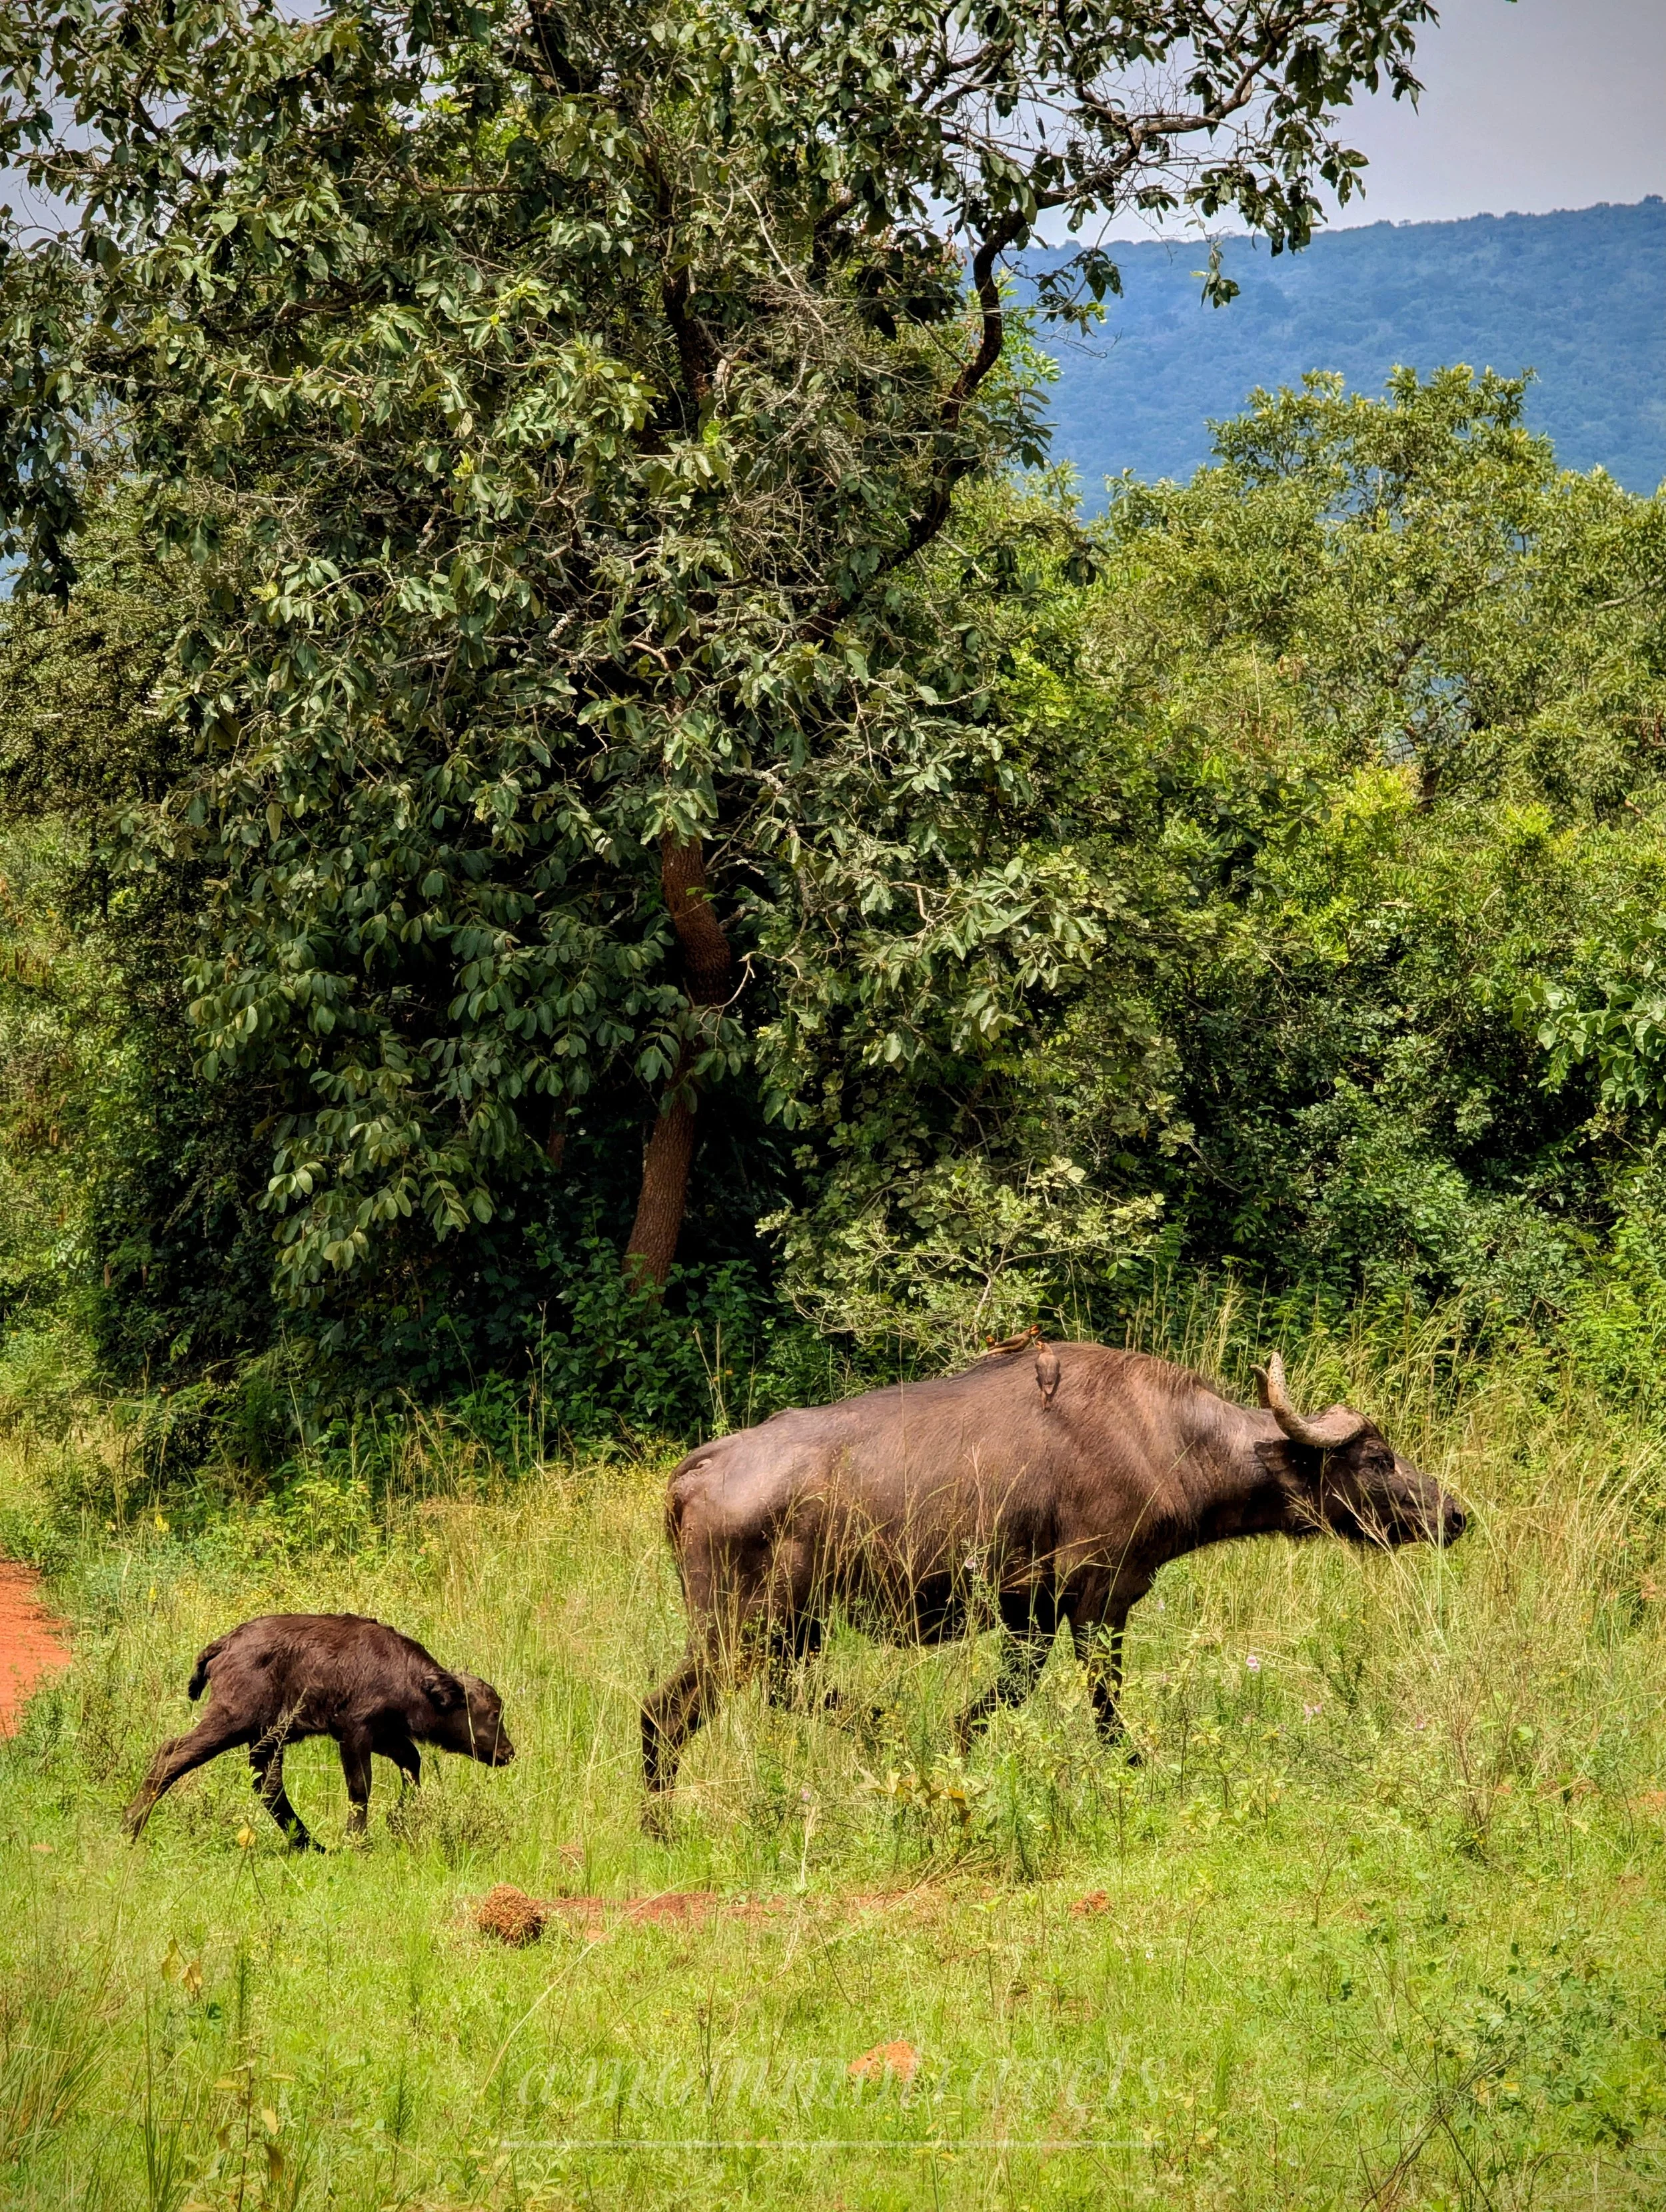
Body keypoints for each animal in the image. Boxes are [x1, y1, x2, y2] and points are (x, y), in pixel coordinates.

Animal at [123, 1613, 515, 1850]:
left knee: (268, 1784)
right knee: (173, 1754)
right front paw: (357, 1841)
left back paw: (311, 1845)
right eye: (494, 1712)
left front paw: (399, 1821)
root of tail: (225, 1644)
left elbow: (412, 1763)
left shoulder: (385, 1736)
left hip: (266, 1737)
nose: (508, 1752)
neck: (412, 1678)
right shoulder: (355, 1734)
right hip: (233, 1722)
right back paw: (130, 1830)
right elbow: (361, 1787)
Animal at [642, 1342, 1464, 1819]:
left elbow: (997, 1702)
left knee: (781, 1693)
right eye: (1379, 1457)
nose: (1455, 1513)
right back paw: (662, 1824)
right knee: (665, 1712)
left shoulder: (1029, 1611)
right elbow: (1105, 1704)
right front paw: (1138, 1771)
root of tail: (695, 1472)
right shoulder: (1100, 1598)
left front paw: (950, 1753)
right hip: (738, 1630)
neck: (1168, 1438)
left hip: (789, 1630)